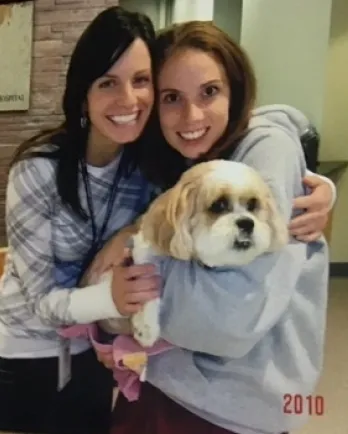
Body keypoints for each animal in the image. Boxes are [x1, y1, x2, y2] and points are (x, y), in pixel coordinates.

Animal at [98, 161, 288, 348]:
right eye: (218, 205)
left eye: (252, 205)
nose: (247, 223)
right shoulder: (145, 247)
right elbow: (147, 283)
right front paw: (145, 327)